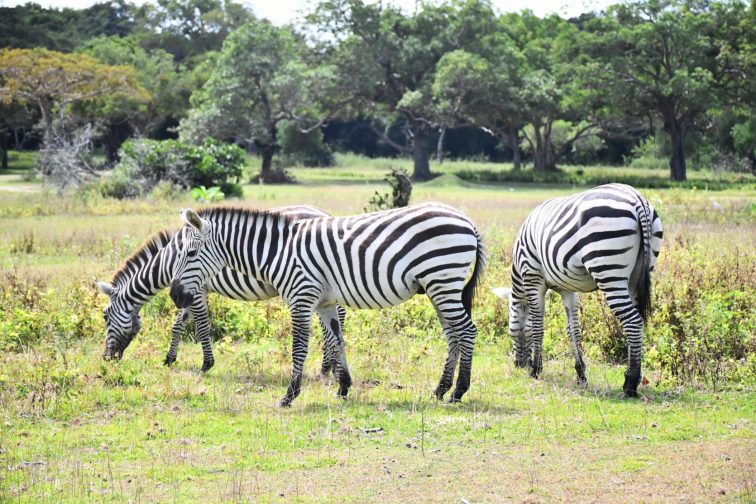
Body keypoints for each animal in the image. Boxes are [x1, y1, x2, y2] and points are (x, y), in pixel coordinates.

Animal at [95, 205, 345, 374]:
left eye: (105, 316)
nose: (106, 359)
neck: (169, 262)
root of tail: (324, 213)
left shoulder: (195, 290)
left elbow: (202, 327)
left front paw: (206, 364)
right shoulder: (190, 291)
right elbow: (178, 325)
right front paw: (169, 358)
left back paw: (328, 367)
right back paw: (328, 366)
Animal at [168, 202, 486, 406]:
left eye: (190, 253)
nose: (175, 296)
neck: (278, 251)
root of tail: (467, 221)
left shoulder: (301, 296)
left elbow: (299, 347)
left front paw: (289, 396)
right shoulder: (325, 303)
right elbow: (337, 340)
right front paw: (343, 387)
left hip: (444, 280)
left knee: (467, 331)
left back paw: (458, 391)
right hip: (439, 287)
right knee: (453, 335)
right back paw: (440, 389)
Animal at [492, 183, 663, 397]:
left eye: (510, 326)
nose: (519, 365)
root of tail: (637, 199)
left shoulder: (532, 277)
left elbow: (537, 326)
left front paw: (536, 370)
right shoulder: (568, 290)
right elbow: (572, 330)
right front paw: (581, 374)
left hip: (608, 268)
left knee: (633, 322)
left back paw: (630, 384)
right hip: (638, 274)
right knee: (635, 321)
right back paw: (633, 378)